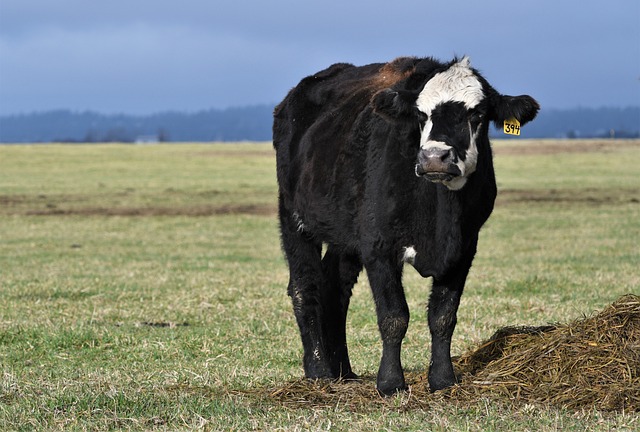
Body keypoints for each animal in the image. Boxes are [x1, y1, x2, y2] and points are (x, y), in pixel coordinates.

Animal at [272, 54, 536, 394]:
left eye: (477, 114)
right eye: (421, 115)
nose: (435, 157)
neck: (438, 221)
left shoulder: (464, 248)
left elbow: (443, 316)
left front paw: (442, 379)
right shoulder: (378, 247)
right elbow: (394, 316)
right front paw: (390, 382)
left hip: (346, 235)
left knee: (335, 286)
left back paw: (343, 370)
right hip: (294, 216)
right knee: (306, 286)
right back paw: (319, 371)